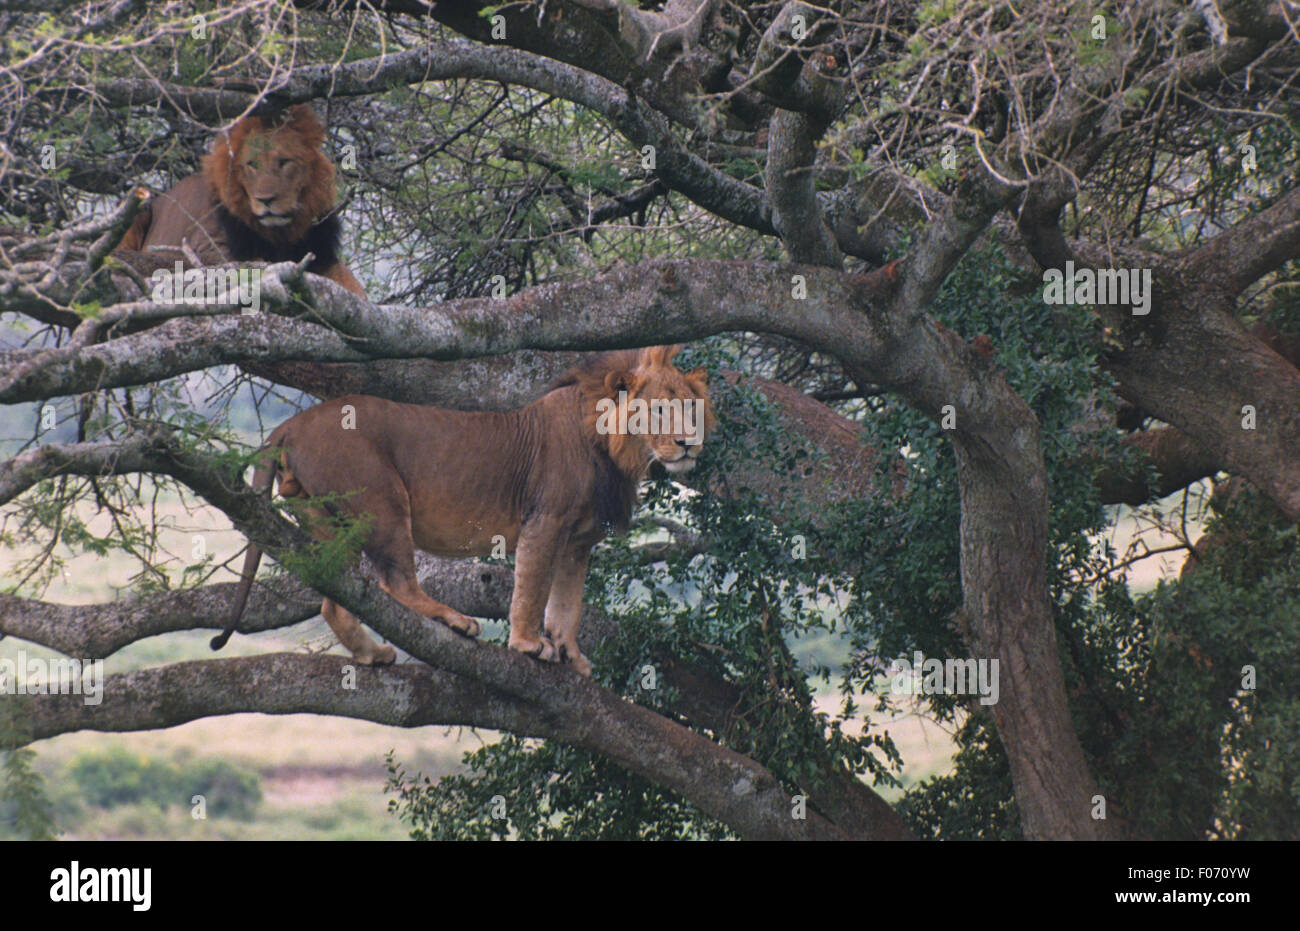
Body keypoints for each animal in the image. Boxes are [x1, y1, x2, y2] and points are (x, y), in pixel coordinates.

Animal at [217, 343, 717, 676]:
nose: (687, 443)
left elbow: (567, 603)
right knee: (396, 581)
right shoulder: (546, 520)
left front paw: (570, 654)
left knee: (333, 600)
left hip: (326, 521)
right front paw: (528, 644)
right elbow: (533, 589)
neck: (611, 447)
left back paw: (372, 654)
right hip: (383, 500)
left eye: (690, 407)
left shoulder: (579, 541)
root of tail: (291, 424)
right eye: (657, 411)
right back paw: (454, 620)